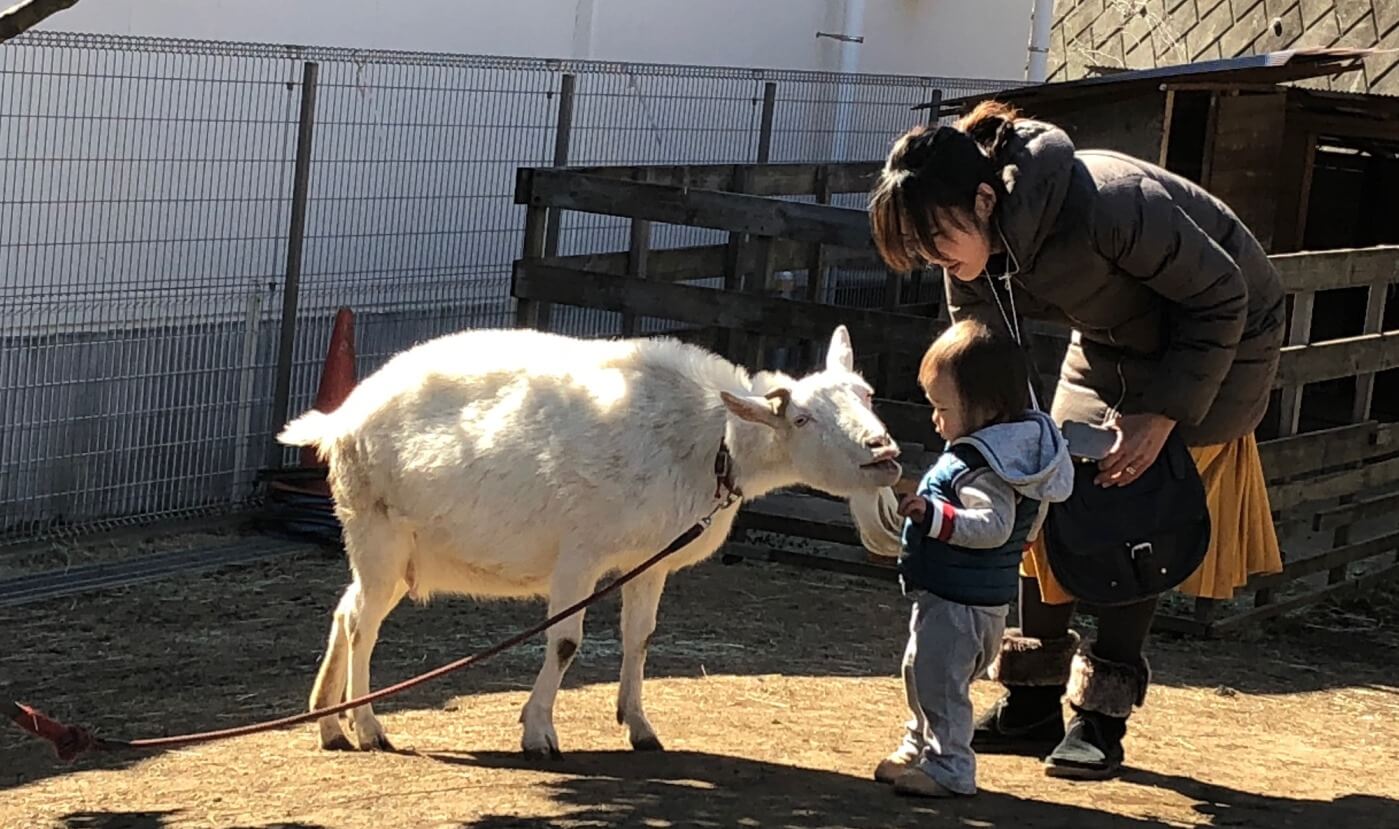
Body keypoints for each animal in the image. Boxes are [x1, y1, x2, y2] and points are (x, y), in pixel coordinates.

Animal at [278, 322, 900, 754]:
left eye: (868, 395)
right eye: (802, 420)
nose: (885, 452)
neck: (712, 441)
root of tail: (340, 420)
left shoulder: (652, 558)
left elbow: (639, 638)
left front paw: (640, 726)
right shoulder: (581, 553)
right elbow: (565, 643)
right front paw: (538, 733)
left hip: (394, 549)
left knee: (347, 609)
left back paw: (330, 724)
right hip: (377, 530)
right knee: (362, 626)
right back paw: (368, 727)